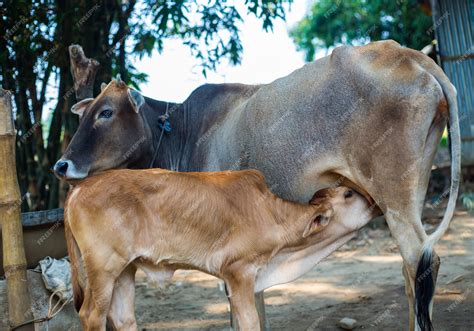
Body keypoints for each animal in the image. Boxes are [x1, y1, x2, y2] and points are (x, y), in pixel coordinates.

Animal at [65, 170, 374, 330]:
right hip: (103, 268)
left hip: (125, 269)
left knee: (123, 317)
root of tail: (79, 186)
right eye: (348, 194)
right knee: (91, 315)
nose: (373, 201)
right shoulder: (239, 272)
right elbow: (250, 322)